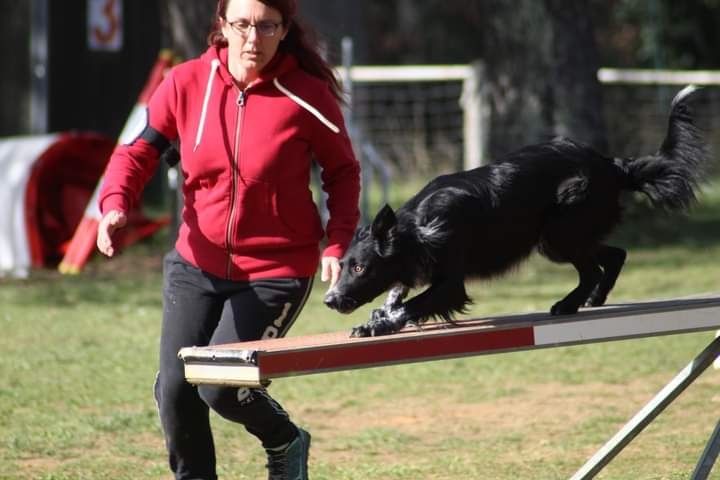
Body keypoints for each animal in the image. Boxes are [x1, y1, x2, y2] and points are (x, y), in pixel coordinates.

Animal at [324, 84, 708, 338]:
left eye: (359, 267)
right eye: (342, 266)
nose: (329, 300)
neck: (418, 230)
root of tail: (611, 164)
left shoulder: (451, 283)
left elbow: (414, 303)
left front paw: (381, 324)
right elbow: (398, 294)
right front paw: (378, 316)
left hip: (559, 233)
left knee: (591, 270)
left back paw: (568, 305)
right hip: (562, 237)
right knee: (615, 255)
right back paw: (594, 300)